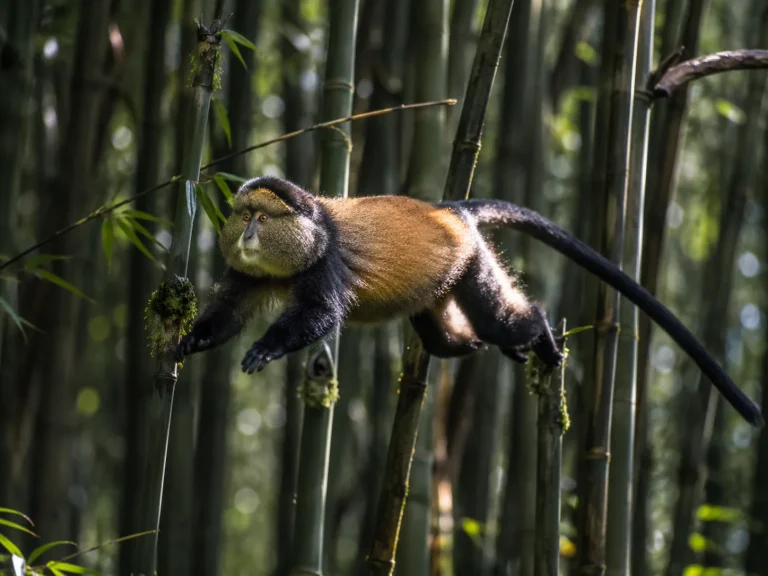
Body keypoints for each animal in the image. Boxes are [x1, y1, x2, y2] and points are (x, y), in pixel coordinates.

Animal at [175, 176, 764, 427]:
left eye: (264, 217)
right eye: (241, 215)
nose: (248, 232)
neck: (304, 242)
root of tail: (452, 212)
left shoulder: (324, 265)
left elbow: (318, 314)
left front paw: (266, 348)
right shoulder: (246, 274)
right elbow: (228, 313)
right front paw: (188, 341)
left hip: (473, 264)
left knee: (504, 318)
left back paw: (539, 336)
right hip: (439, 286)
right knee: (439, 338)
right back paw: (469, 348)